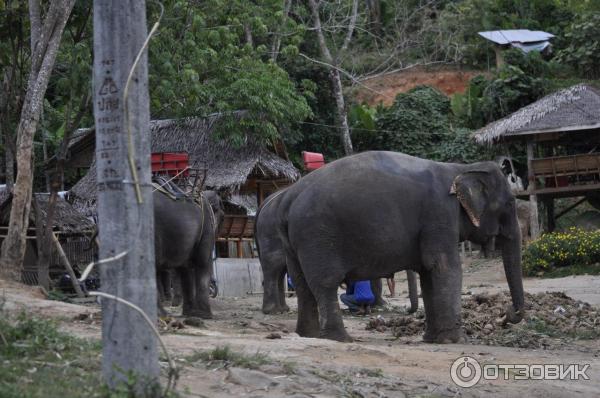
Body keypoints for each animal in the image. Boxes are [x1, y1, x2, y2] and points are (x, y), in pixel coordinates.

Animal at [155, 190, 223, 318]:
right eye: (218, 211)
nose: (214, 287)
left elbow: (185, 268)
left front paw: (191, 313)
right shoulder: (206, 226)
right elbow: (202, 262)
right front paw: (205, 315)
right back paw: (162, 314)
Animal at [255, 188, 420, 316]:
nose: (407, 310)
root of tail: (264, 203)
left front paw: (380, 305)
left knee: (280, 270)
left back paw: (283, 309)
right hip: (271, 235)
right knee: (273, 268)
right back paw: (273, 311)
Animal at [274, 151, 524, 344]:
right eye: (511, 202)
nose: (507, 312)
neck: (461, 169)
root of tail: (288, 199)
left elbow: (428, 275)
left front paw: (432, 339)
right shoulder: (440, 214)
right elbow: (445, 266)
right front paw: (455, 341)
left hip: (294, 241)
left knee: (302, 284)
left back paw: (310, 336)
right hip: (317, 234)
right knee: (325, 283)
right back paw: (340, 339)